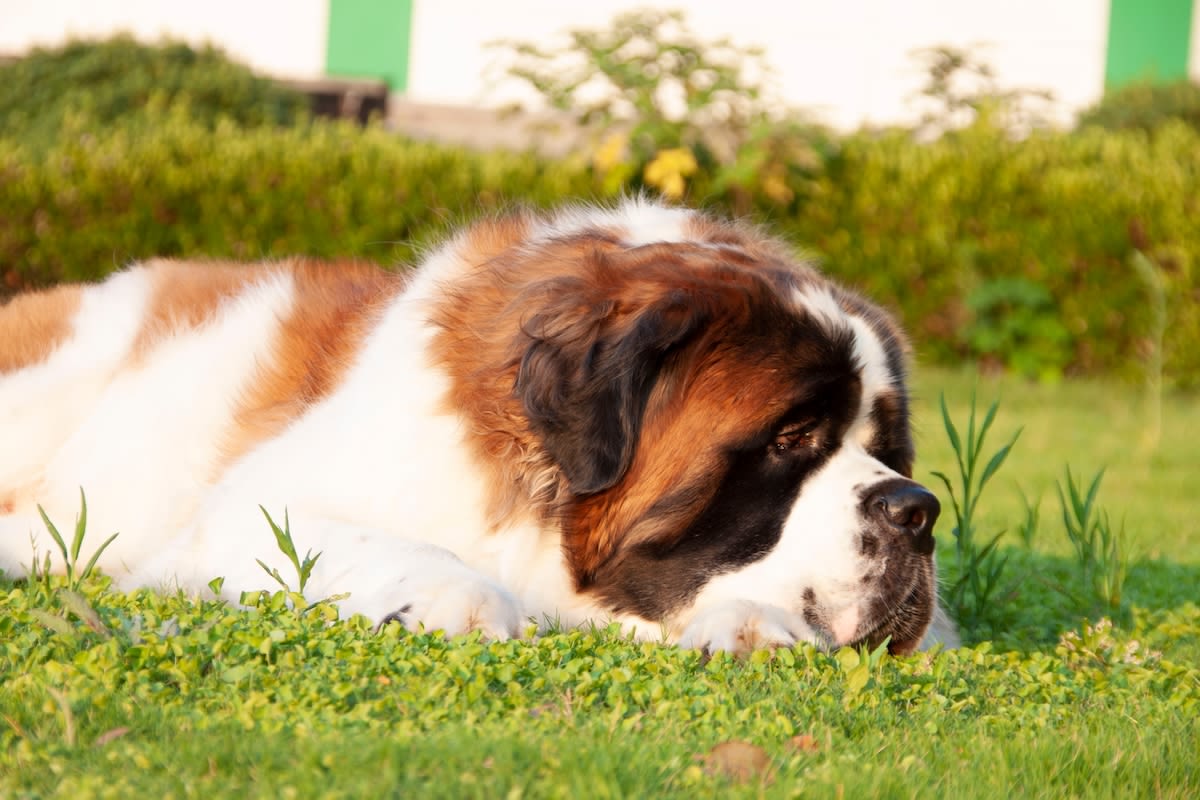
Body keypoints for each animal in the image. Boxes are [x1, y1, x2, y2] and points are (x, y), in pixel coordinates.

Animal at [0, 200, 955, 657]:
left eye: (886, 450)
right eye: (794, 436)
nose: (917, 511)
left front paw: (749, 623)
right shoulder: (240, 514)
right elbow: (389, 547)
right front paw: (460, 600)